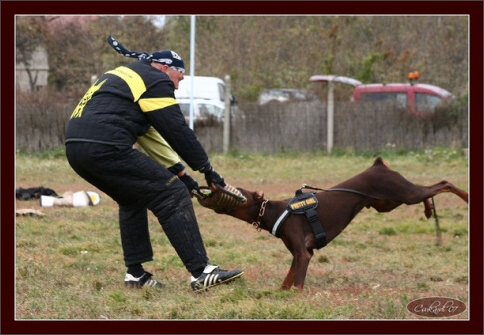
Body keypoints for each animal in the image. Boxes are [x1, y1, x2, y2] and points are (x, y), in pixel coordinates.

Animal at [205, 158, 468, 292]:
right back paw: (429, 210)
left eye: (238, 190)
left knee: (443, 184)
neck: (276, 212)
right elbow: (287, 282)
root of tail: (378, 165)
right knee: (430, 192)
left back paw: (464, 197)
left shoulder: (303, 253)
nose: (213, 184)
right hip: (388, 202)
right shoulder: (300, 253)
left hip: (403, 192)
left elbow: (297, 285)